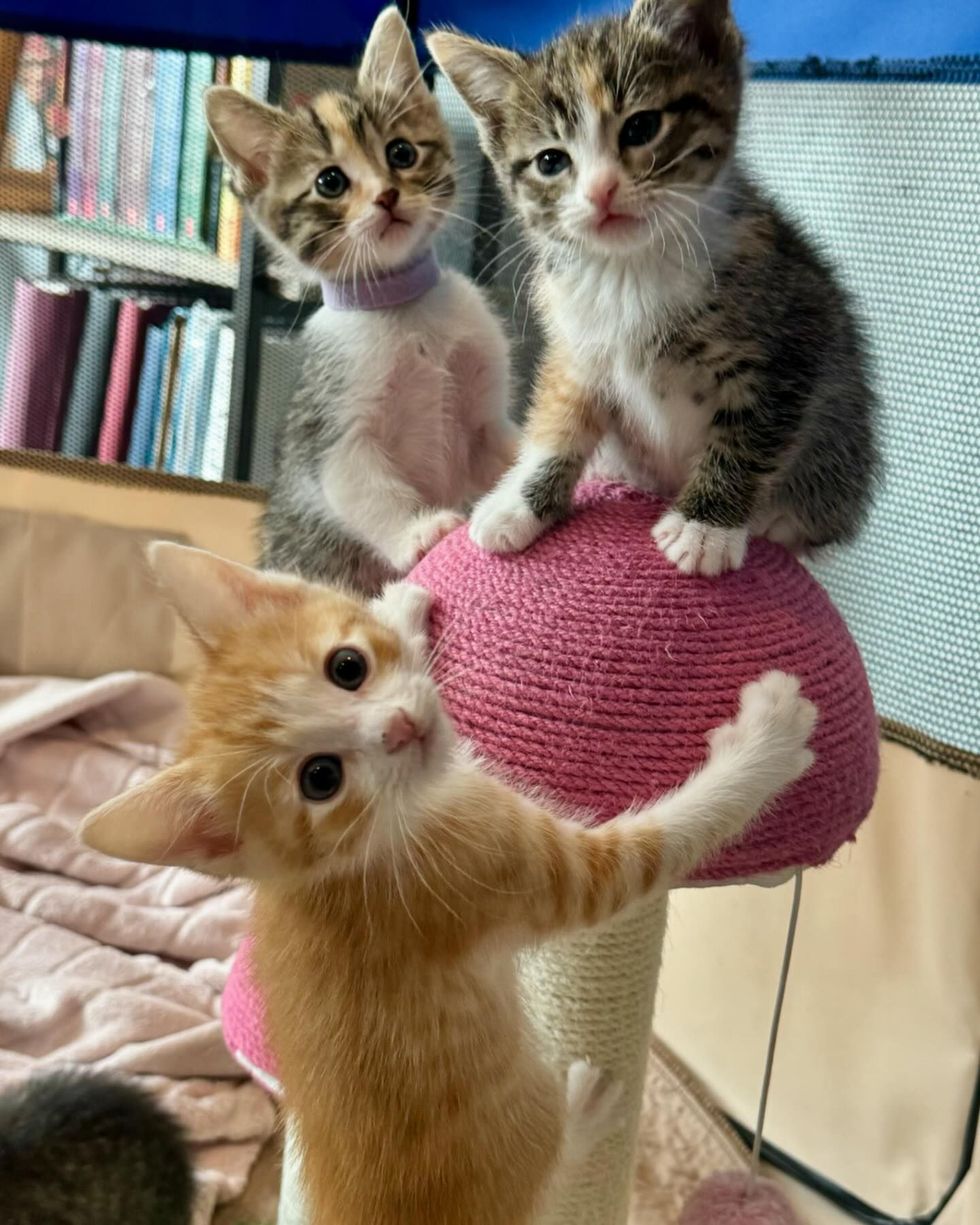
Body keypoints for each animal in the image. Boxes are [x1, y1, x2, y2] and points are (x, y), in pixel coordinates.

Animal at [86, 543, 818, 1225]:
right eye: (321, 778)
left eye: (347, 666)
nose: (401, 729)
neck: (363, 849)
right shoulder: (526, 868)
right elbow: (662, 842)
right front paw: (767, 741)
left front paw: (402, 611)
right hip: (519, 1117)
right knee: (546, 1174)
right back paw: (585, 1110)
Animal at [203, 8, 516, 592]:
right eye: (330, 181)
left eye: (402, 153)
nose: (388, 196)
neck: (402, 308)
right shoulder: (332, 427)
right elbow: (361, 487)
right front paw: (419, 530)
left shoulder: (483, 418)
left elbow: (506, 450)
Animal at [428, 0, 882, 575]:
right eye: (551, 161)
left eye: (642, 127)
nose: (601, 191)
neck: (629, 269)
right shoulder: (577, 345)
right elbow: (559, 422)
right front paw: (519, 504)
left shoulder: (796, 330)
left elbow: (752, 429)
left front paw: (705, 527)